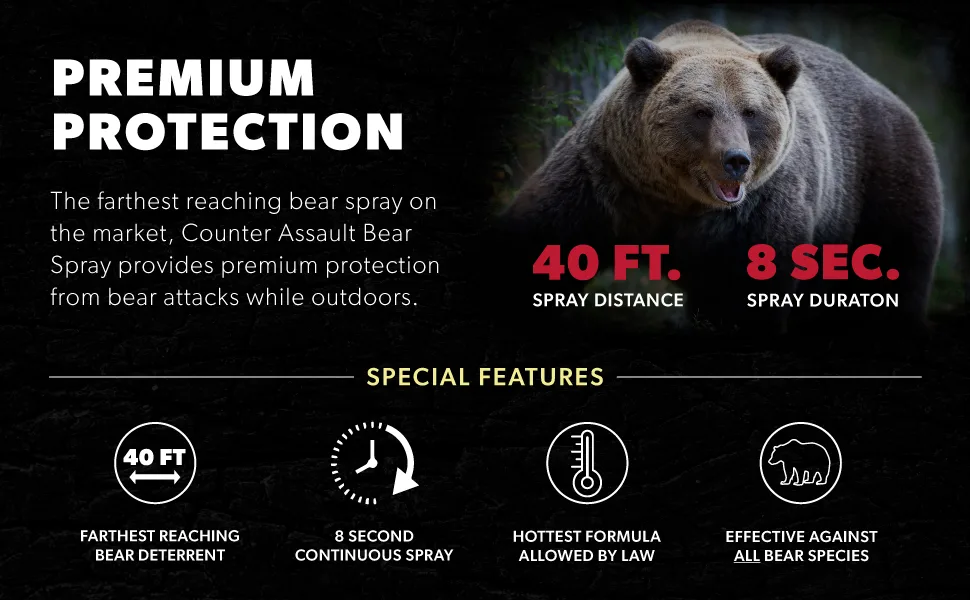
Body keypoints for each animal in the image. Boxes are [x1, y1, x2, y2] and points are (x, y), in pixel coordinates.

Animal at [495, 19, 944, 333]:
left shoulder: (756, 209)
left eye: (751, 112)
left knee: (895, 274)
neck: (675, 199)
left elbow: (742, 292)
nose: (736, 160)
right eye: (701, 111)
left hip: (880, 179)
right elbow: (541, 239)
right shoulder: (606, 177)